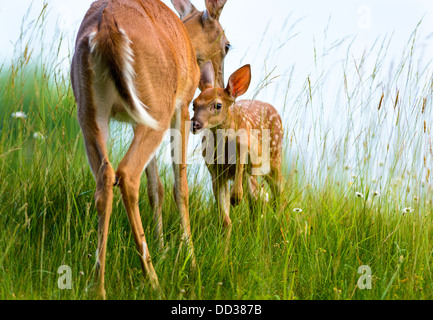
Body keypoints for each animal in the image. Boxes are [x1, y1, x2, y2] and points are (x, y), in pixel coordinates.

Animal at [69, 0, 228, 300]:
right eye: (227, 45)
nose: (219, 86)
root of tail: (106, 30)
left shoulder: (136, 119)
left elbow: (156, 188)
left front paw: (163, 247)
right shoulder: (182, 107)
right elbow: (179, 186)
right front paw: (189, 258)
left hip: (91, 112)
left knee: (105, 178)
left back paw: (99, 286)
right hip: (157, 108)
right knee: (128, 174)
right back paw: (152, 280)